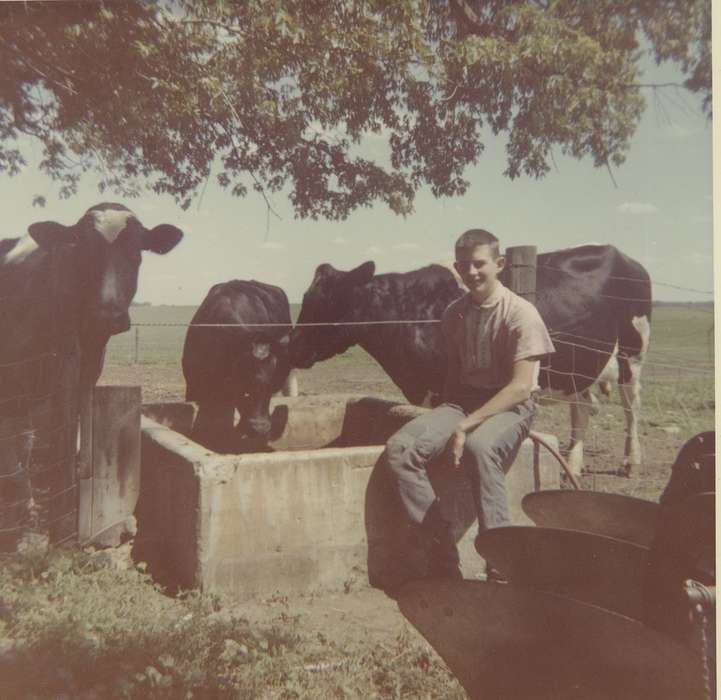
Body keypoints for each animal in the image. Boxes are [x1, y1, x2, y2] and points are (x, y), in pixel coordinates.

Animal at [288, 245, 652, 476]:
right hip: (579, 364)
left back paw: (631, 462)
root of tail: (624, 256)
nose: (291, 345)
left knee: (631, 406)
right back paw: (573, 466)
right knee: (582, 407)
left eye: (326, 301)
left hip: (632, 354)